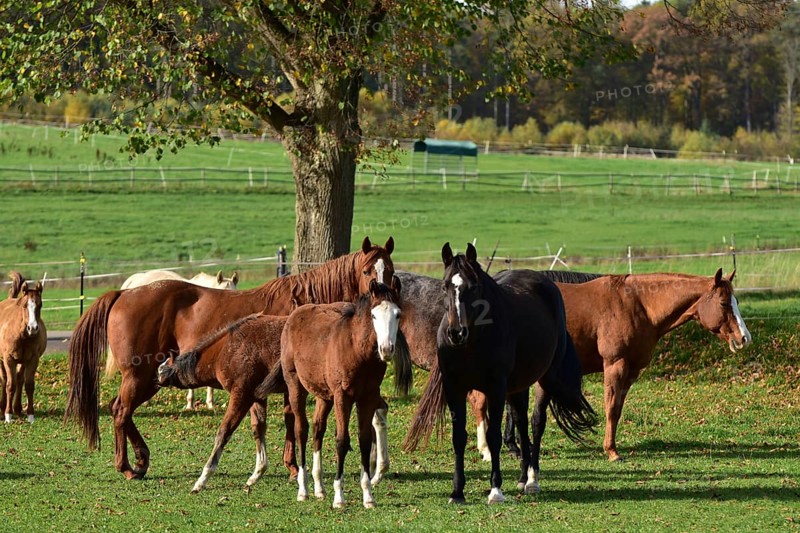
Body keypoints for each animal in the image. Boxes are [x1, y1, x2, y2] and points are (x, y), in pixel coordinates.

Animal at [0, 272, 47, 423]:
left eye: (40, 305)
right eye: (24, 305)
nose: (33, 328)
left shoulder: (32, 360)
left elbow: (29, 385)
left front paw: (30, 415)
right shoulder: (9, 359)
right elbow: (10, 385)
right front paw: (8, 415)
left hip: (22, 361)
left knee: (20, 380)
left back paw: (18, 409)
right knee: (5, 380)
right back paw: (3, 410)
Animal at [257, 277, 402, 509]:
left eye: (397, 314)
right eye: (373, 315)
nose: (387, 349)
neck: (357, 349)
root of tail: (294, 315)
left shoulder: (368, 397)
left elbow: (364, 439)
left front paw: (368, 496)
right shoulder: (343, 396)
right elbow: (342, 440)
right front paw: (339, 497)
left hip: (324, 396)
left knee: (318, 428)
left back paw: (319, 488)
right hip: (295, 385)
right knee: (301, 429)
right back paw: (304, 489)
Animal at [403, 243, 596, 504]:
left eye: (473, 287)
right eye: (445, 286)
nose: (456, 333)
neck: (472, 343)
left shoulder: (495, 389)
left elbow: (493, 436)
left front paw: (495, 490)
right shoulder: (455, 388)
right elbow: (459, 437)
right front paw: (457, 492)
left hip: (544, 379)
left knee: (537, 422)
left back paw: (532, 480)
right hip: (517, 386)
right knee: (521, 422)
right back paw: (523, 477)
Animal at [495, 268, 752, 462]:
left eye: (737, 301)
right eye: (723, 303)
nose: (744, 338)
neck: (638, 305)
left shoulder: (632, 371)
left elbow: (617, 409)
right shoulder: (615, 366)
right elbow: (610, 407)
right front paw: (611, 451)